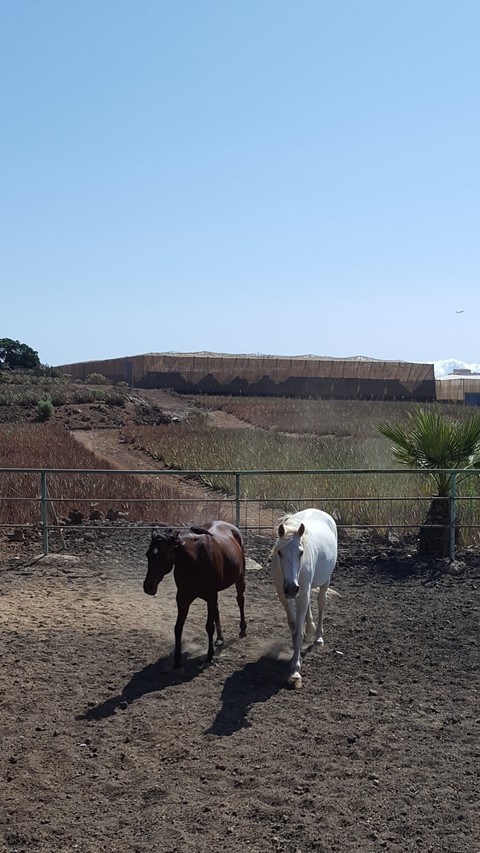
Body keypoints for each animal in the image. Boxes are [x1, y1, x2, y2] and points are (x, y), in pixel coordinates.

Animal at [143, 520, 247, 669]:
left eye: (162, 556)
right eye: (148, 554)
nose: (148, 587)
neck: (194, 560)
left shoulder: (210, 595)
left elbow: (209, 626)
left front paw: (209, 655)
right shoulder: (183, 597)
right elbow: (178, 627)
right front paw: (177, 660)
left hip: (239, 578)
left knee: (240, 600)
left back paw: (242, 629)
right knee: (217, 610)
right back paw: (220, 639)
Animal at [270, 507, 338, 688]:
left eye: (301, 552)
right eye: (280, 552)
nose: (292, 588)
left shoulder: (301, 591)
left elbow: (297, 634)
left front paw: (295, 672)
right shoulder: (283, 594)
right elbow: (294, 627)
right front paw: (296, 658)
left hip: (324, 581)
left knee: (321, 603)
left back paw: (318, 636)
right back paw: (310, 629)